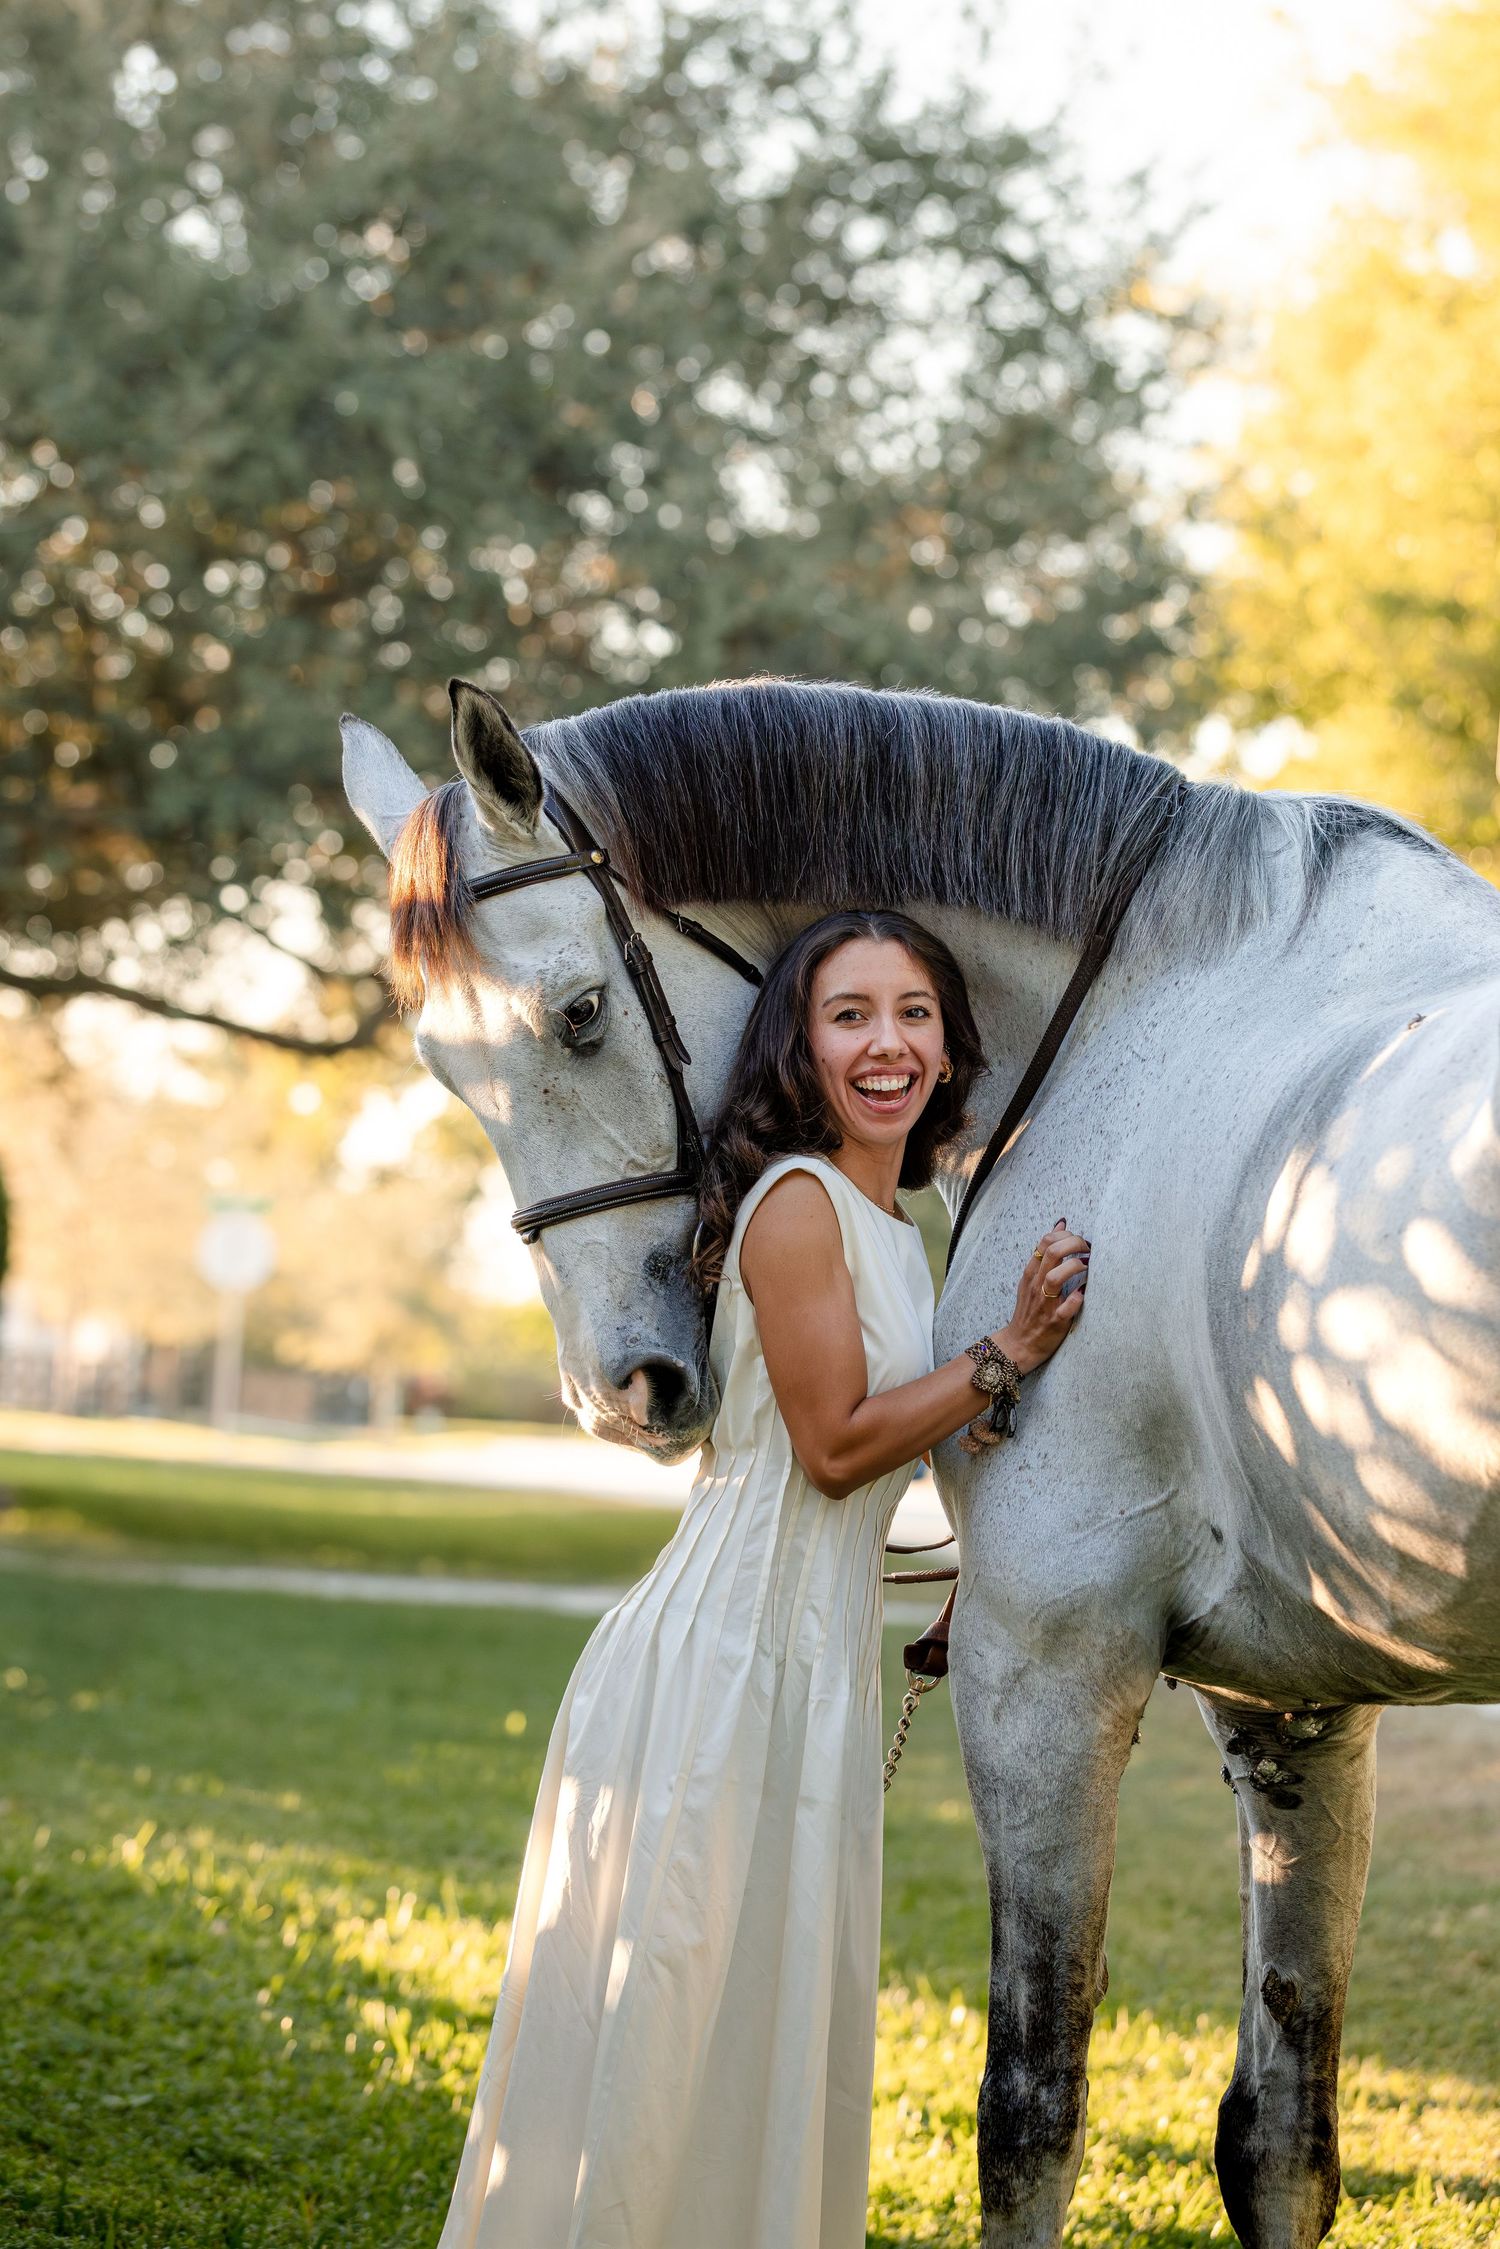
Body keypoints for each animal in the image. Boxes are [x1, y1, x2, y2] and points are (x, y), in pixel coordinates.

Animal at [342, 675, 1500, 2249]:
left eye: (578, 1013)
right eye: (437, 1068)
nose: (623, 1391)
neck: (1146, 1006)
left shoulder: (1044, 1659)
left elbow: (1031, 2109)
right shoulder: (1294, 1710)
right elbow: (1279, 2143)